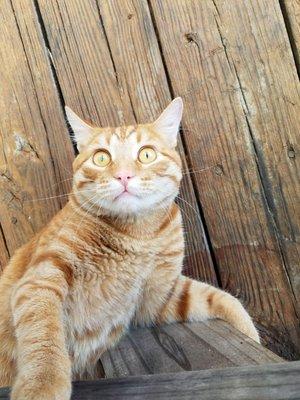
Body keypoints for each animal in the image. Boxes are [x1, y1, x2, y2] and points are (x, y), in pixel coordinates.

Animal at [0, 97, 258, 400]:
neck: (138, 236)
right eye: (101, 157)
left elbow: (220, 298)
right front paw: (42, 385)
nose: (124, 176)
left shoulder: (159, 297)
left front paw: (250, 334)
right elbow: (43, 338)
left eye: (146, 154)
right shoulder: (41, 279)